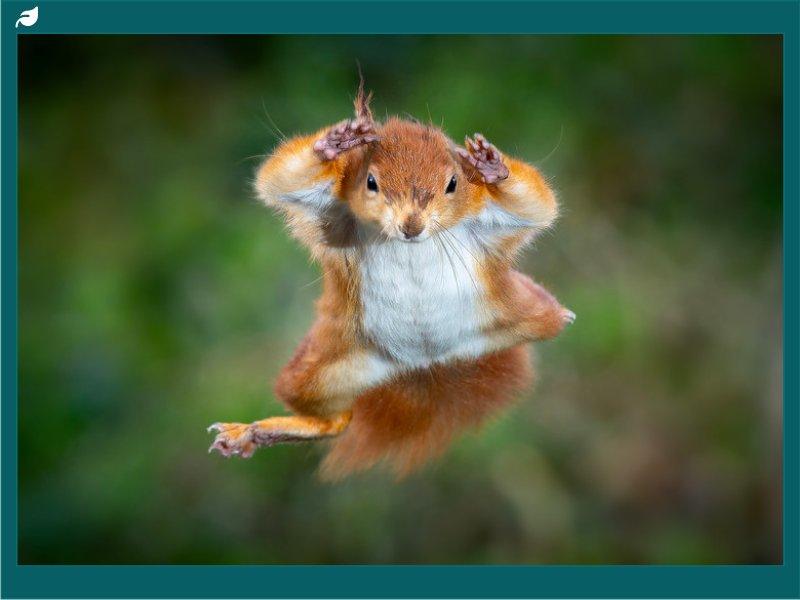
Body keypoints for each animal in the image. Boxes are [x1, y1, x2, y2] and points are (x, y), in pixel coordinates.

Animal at [208, 80, 575, 479]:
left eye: (453, 183)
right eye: (371, 181)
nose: (411, 226)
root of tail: (422, 364)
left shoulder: (487, 220)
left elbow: (536, 205)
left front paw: (493, 167)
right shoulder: (333, 214)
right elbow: (280, 179)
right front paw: (335, 142)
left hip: (513, 313)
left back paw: (562, 314)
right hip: (324, 367)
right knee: (334, 420)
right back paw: (254, 432)